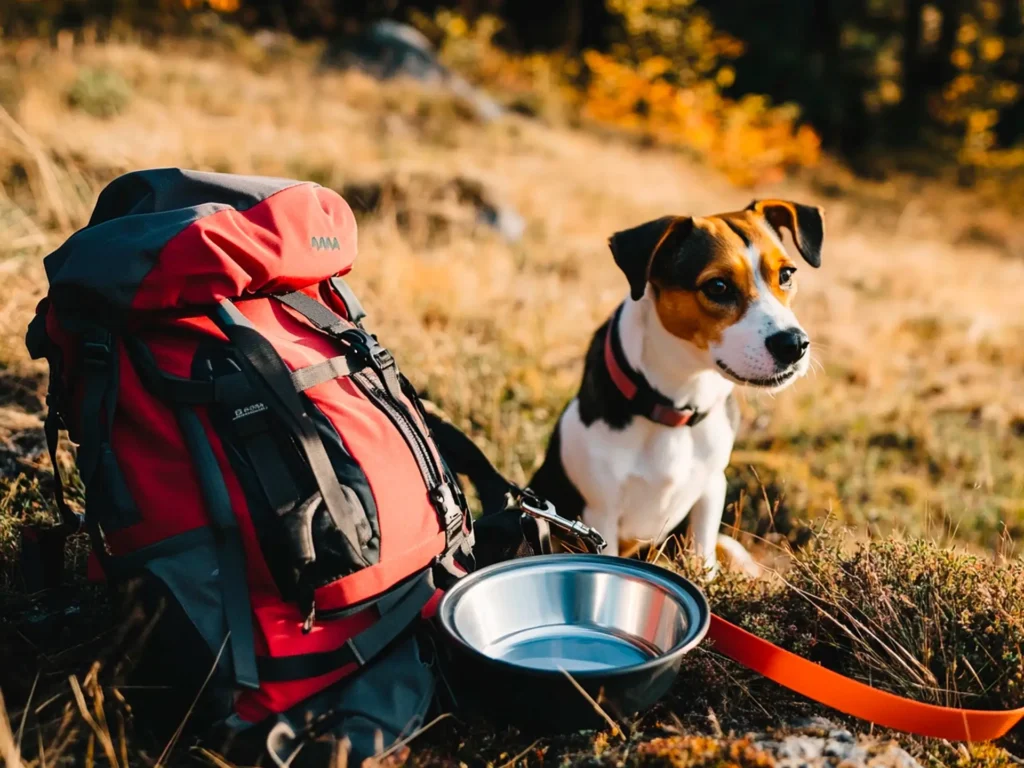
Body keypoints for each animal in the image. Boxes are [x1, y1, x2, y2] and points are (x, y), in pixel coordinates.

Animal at [528, 201, 823, 573]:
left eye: (786, 274)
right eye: (718, 286)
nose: (794, 344)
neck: (678, 404)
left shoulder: (711, 490)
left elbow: (704, 555)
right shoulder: (599, 515)